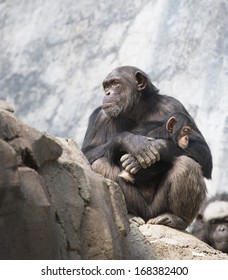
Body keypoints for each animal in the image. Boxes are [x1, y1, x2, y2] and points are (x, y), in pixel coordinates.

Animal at [81, 65, 212, 230]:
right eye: (106, 86)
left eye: (116, 83)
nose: (108, 93)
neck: (137, 110)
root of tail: (148, 217)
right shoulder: (99, 116)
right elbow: (86, 153)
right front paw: (129, 141)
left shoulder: (174, 105)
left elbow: (204, 151)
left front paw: (161, 147)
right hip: (138, 206)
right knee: (101, 163)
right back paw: (129, 216)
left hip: (157, 208)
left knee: (187, 164)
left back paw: (175, 218)